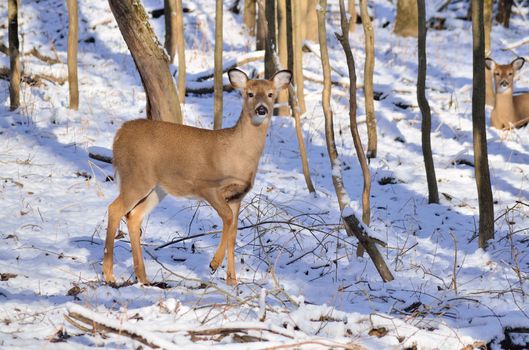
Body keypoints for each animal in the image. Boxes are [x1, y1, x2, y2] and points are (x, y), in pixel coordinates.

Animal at [103, 69, 292, 288]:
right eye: (250, 93)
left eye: (270, 94)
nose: (261, 109)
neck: (238, 153)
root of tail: (119, 134)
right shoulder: (207, 186)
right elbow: (227, 218)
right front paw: (214, 263)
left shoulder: (237, 196)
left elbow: (233, 233)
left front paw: (232, 281)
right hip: (136, 176)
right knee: (114, 209)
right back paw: (109, 274)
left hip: (157, 188)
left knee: (133, 216)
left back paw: (143, 278)